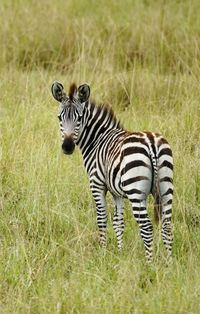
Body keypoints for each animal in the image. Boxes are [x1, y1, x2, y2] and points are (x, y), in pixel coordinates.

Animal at [50, 81, 173, 262]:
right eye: (60, 118)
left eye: (79, 118)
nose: (67, 147)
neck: (97, 139)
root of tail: (152, 144)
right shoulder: (117, 192)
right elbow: (118, 222)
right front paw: (120, 253)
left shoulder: (97, 185)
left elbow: (102, 219)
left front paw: (102, 252)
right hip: (165, 188)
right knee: (167, 226)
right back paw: (168, 263)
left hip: (136, 192)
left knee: (147, 227)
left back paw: (149, 264)